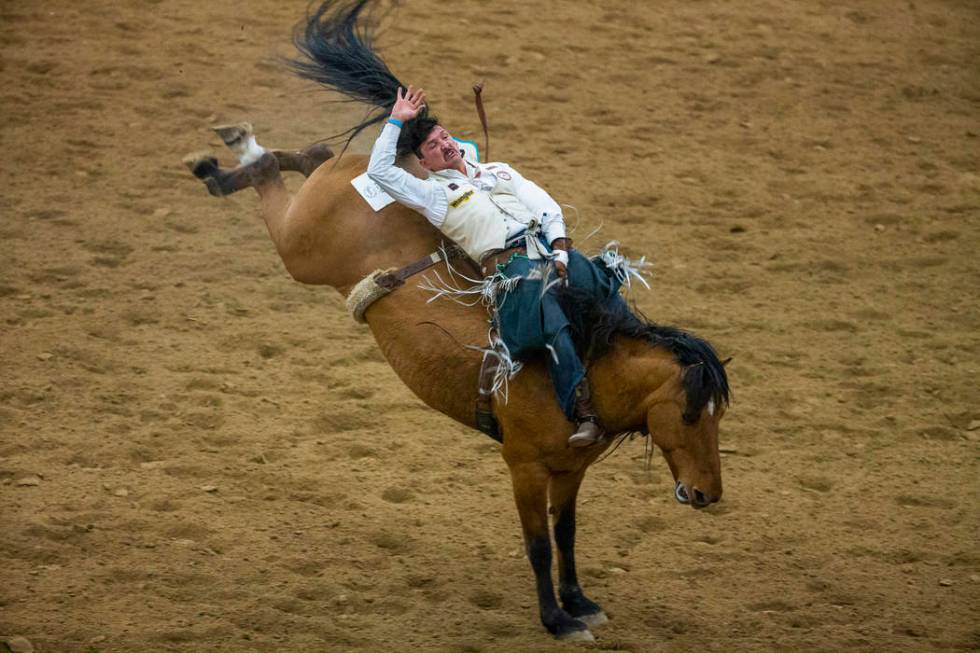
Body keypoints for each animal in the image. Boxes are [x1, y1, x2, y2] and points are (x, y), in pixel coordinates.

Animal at [188, 0, 732, 640]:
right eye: (691, 413)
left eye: (720, 416)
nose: (708, 495)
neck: (589, 373)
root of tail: (375, 178)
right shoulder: (524, 466)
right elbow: (539, 545)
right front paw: (556, 619)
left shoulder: (571, 470)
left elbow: (568, 535)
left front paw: (579, 601)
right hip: (301, 250)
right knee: (277, 177)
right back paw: (235, 156)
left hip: (321, 206)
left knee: (312, 158)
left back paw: (232, 163)